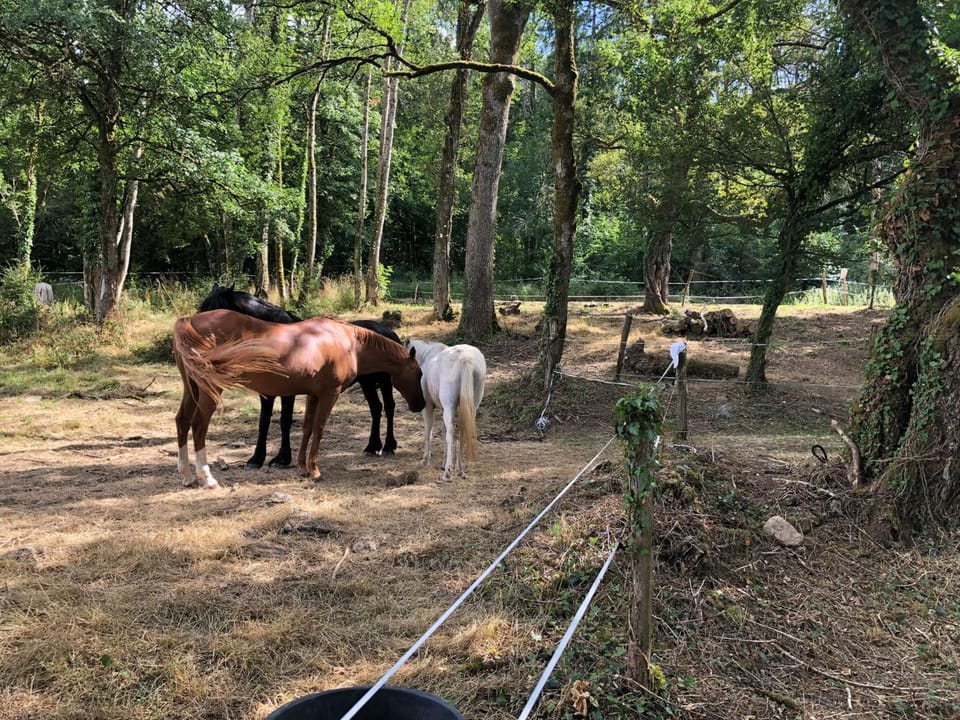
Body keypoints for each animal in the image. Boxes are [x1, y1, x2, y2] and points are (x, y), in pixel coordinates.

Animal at [172, 309, 425, 489]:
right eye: (419, 373)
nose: (420, 404)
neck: (349, 343)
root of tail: (188, 321)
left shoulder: (313, 395)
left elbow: (307, 428)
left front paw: (302, 466)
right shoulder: (329, 394)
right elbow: (319, 428)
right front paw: (314, 470)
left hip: (192, 389)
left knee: (182, 421)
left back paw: (187, 476)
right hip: (209, 391)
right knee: (198, 425)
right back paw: (206, 478)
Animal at [199, 284, 402, 467]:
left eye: (215, 313)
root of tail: (387, 331)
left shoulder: (288, 392)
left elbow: (285, 421)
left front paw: (281, 459)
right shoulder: (267, 392)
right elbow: (263, 422)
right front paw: (256, 459)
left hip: (384, 381)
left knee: (389, 407)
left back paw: (388, 446)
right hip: (367, 382)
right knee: (375, 408)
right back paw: (372, 447)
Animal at [406, 339, 486, 482]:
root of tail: (465, 359)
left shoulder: (428, 408)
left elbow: (428, 432)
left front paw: (425, 460)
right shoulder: (443, 409)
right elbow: (443, 432)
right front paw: (443, 463)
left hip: (449, 407)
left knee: (451, 432)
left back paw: (448, 473)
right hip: (472, 405)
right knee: (462, 431)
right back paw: (459, 470)